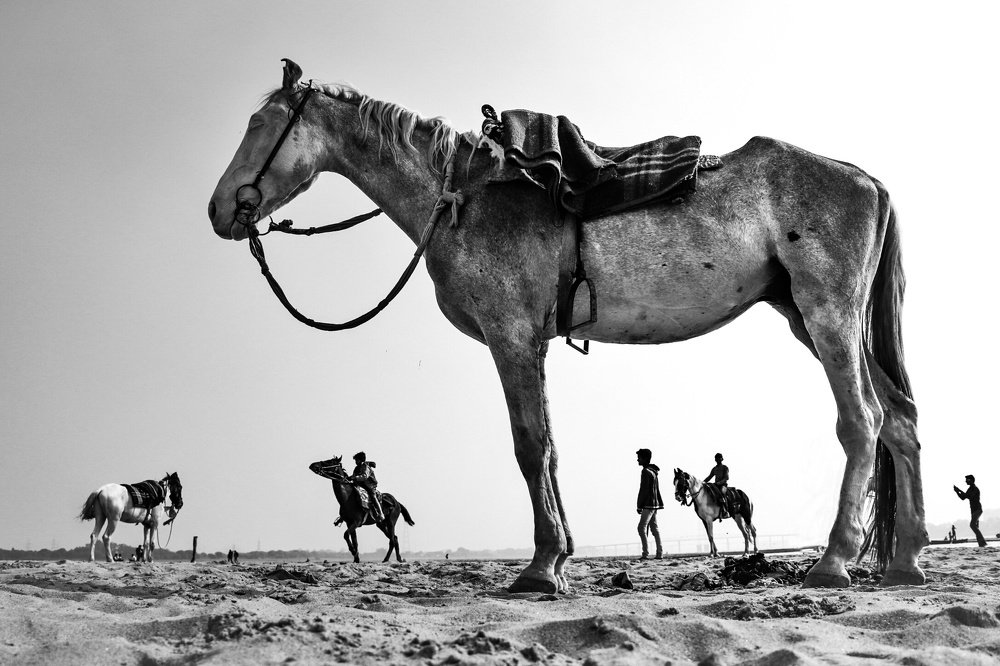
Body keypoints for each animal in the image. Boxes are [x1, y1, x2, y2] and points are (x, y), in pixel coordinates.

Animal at [208, 59, 926, 591]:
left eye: (258, 122)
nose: (220, 209)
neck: (461, 196)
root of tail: (865, 180)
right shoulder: (533, 342)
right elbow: (549, 447)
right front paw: (557, 560)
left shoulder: (511, 336)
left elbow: (531, 447)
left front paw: (539, 570)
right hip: (807, 315)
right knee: (899, 421)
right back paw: (905, 561)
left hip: (827, 314)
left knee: (862, 420)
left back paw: (834, 562)